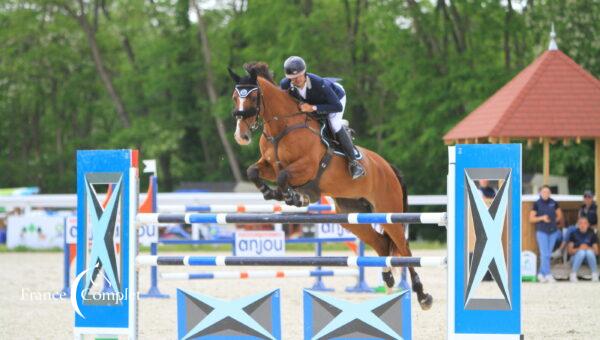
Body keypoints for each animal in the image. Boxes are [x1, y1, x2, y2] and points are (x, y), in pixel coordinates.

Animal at [226, 62, 432, 310]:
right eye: (235, 97)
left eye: (253, 96)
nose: (241, 136)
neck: (282, 126)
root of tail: (388, 167)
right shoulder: (269, 166)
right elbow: (253, 171)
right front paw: (270, 192)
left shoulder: (306, 166)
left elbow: (284, 176)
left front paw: (295, 197)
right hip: (353, 216)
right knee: (382, 245)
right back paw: (388, 279)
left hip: (388, 210)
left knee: (404, 248)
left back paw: (422, 295)